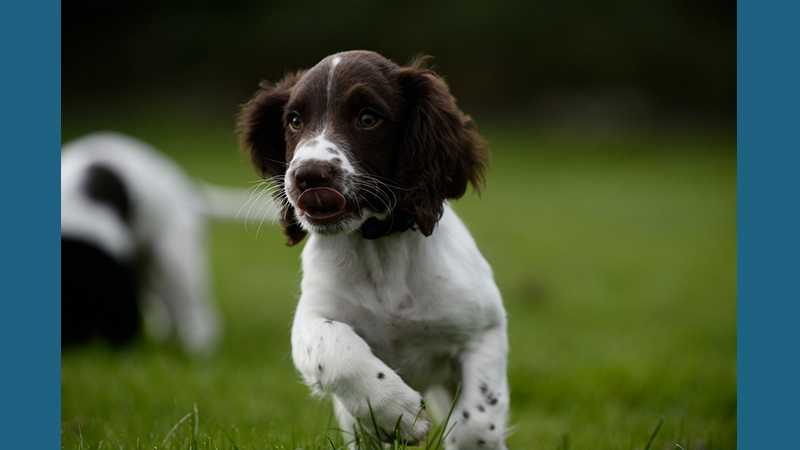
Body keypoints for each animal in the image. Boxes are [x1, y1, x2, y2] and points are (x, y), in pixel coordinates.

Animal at [61, 132, 231, 354]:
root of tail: (187, 195)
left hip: (177, 261)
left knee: (200, 313)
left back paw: (198, 346)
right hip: (151, 268)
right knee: (171, 308)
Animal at [238, 51, 510, 448]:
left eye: (368, 118)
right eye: (294, 120)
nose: (309, 176)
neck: (380, 246)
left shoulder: (484, 328)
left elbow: (477, 421)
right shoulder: (311, 317)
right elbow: (336, 351)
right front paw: (397, 412)